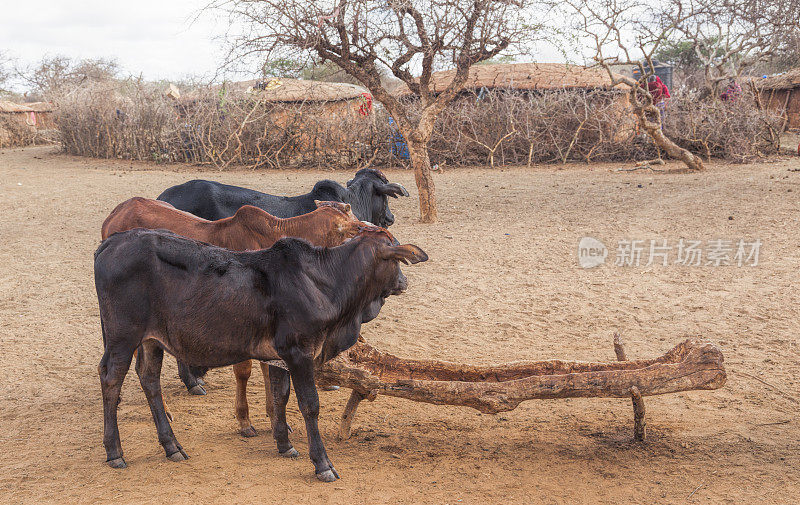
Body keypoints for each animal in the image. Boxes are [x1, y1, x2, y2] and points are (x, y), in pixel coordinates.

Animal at [100, 197, 366, 434]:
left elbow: (268, 369)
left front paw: (276, 421)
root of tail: (113, 218)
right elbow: (245, 371)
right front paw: (245, 421)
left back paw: (192, 384)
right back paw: (166, 409)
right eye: (350, 218)